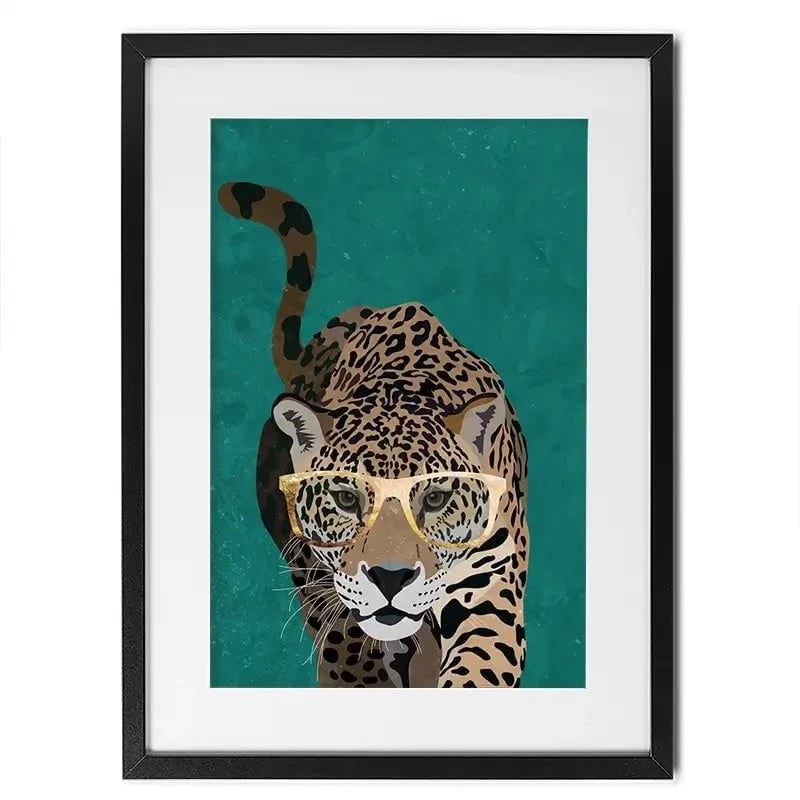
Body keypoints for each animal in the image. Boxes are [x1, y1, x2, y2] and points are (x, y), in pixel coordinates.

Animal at [217, 181, 530, 687]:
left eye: (436, 498)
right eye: (346, 499)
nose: (390, 578)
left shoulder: (490, 586)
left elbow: (478, 668)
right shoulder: (329, 587)